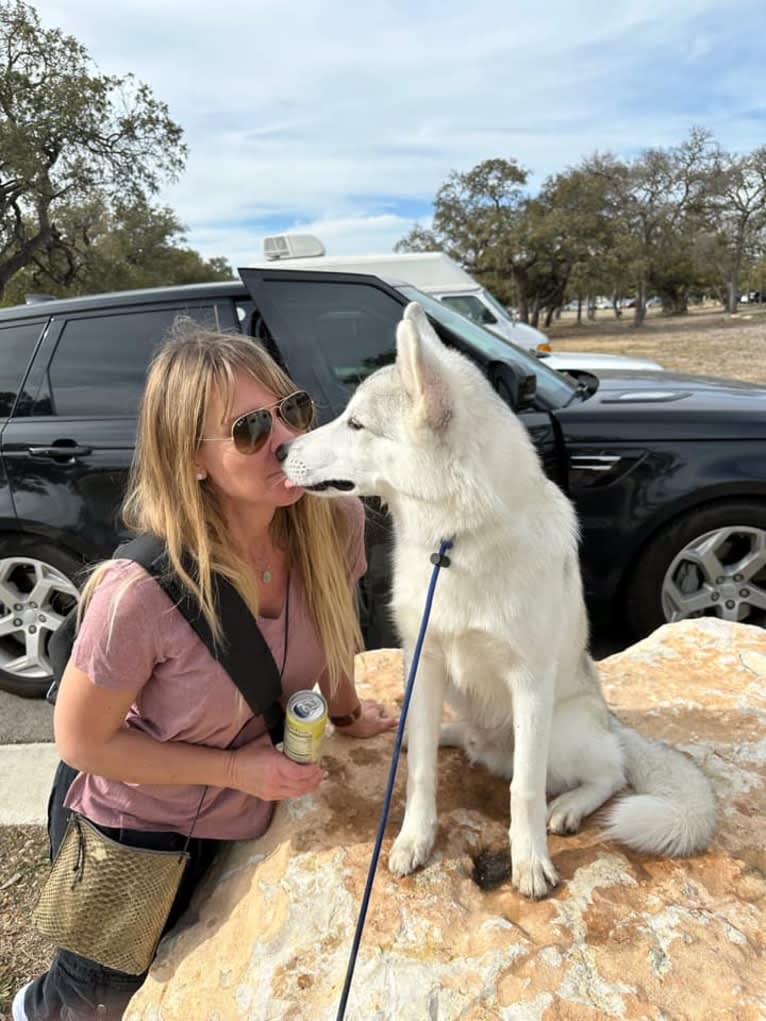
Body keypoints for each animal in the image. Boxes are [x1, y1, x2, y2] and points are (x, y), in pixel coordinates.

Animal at [281, 298, 719, 898]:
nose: (281, 448)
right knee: (451, 740)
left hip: (561, 730)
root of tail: (611, 724)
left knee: (606, 773)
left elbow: (525, 792)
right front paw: (415, 839)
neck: (454, 544)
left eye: (356, 424)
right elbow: (421, 775)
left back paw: (571, 806)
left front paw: (529, 861)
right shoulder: (426, 659)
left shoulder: (529, 685)